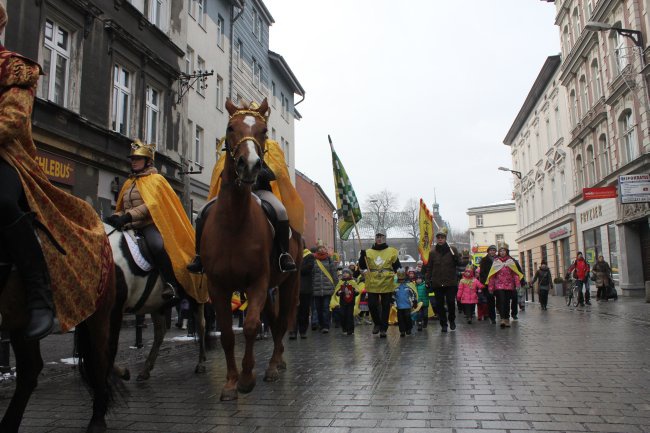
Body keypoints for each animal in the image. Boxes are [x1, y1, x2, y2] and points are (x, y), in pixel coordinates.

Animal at [104, 224, 206, 380]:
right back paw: (145, 370)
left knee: (201, 326)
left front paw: (123, 373)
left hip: (195, 297)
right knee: (160, 332)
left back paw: (200, 364)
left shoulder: (115, 308)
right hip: (156, 304)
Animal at [202, 98, 302, 398]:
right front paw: (230, 383)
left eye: (264, 131)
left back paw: (273, 365)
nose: (250, 165)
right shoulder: (218, 286)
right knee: (274, 320)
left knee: (281, 322)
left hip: (288, 282)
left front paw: (247, 378)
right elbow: (226, 333)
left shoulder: (257, 282)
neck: (234, 223)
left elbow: (249, 326)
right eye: (230, 128)